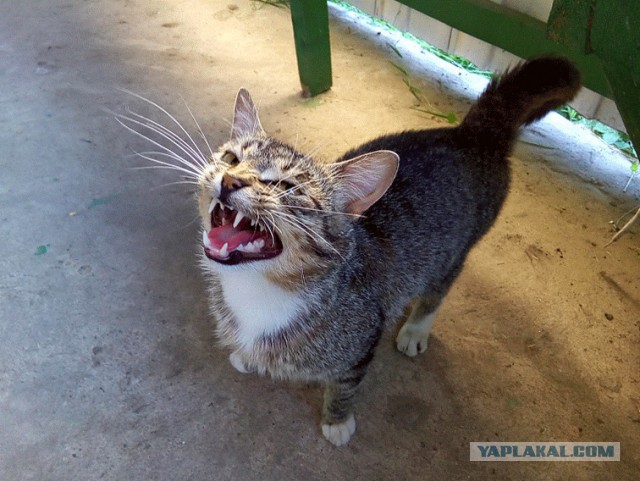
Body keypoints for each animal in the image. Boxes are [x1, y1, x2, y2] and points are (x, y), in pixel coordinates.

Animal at [120, 55, 580, 442]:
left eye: (287, 187)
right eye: (232, 158)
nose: (231, 180)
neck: (259, 290)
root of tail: (471, 134)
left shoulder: (360, 346)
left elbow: (345, 384)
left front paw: (337, 420)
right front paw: (248, 357)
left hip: (456, 249)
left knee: (438, 288)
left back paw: (416, 328)